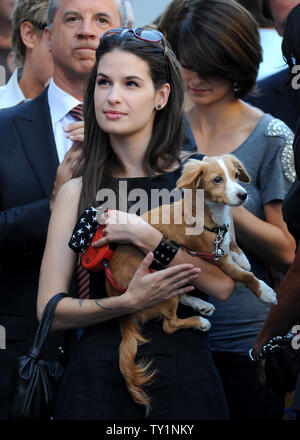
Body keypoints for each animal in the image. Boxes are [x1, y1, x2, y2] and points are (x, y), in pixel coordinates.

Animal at [102, 154, 276, 412]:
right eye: (217, 180)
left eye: (236, 175)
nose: (243, 195)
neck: (209, 216)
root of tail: (121, 310)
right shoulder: (216, 260)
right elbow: (245, 277)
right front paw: (264, 291)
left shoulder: (221, 245)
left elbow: (232, 243)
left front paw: (242, 257)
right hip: (162, 281)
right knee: (169, 323)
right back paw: (199, 321)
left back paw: (200, 304)